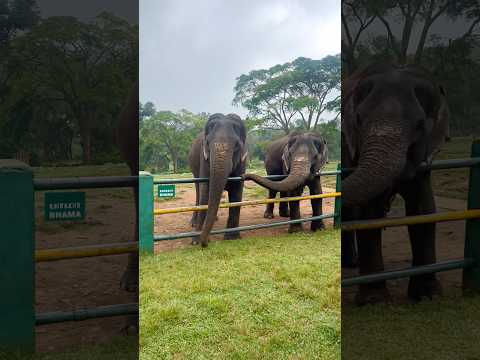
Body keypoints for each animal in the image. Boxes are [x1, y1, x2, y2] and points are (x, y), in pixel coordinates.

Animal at [188, 113, 248, 248]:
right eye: (207, 143)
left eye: (237, 146)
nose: (205, 243)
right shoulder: (204, 157)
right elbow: (205, 189)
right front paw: (195, 241)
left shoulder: (242, 161)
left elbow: (237, 190)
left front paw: (232, 238)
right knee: (198, 189)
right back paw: (193, 223)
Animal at [342, 62, 450, 304]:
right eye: (358, 120)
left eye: (420, 124)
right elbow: (370, 214)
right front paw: (374, 301)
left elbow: (423, 210)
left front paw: (428, 296)